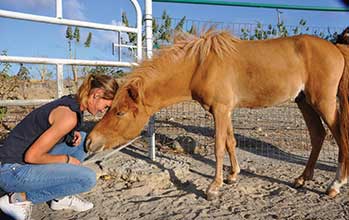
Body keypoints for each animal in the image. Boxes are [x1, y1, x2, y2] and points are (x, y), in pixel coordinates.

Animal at [86, 30, 348, 200]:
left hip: (322, 102)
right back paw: (303, 179)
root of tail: (336, 48)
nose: (89, 141)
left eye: (119, 112)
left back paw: (335, 185)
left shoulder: (221, 110)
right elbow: (231, 142)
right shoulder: (224, 110)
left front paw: (214, 187)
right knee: (318, 135)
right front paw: (233, 176)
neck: (200, 66)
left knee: (340, 138)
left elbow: (218, 146)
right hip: (304, 102)